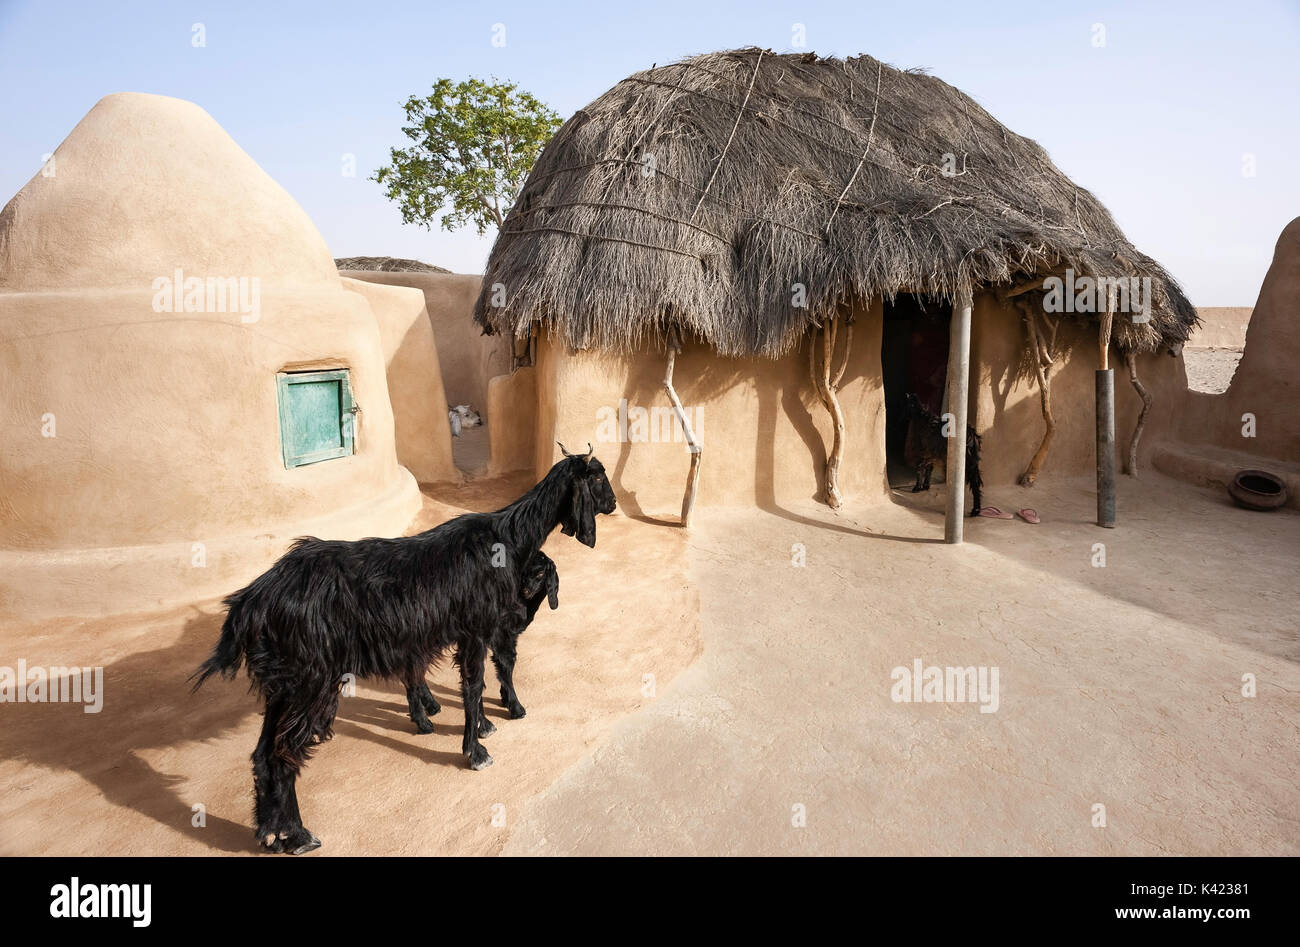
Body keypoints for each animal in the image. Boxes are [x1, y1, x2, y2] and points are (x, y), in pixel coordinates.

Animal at [400, 546, 553, 733]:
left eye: (541, 574)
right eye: (524, 572)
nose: (525, 590)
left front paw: (504, 699)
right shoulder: (502, 635)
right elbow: (505, 665)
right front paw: (515, 708)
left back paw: (432, 707)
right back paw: (424, 722)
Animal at [904, 387, 982, 515]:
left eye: (906, 405)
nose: (904, 416)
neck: (921, 415)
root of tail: (971, 434)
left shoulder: (922, 451)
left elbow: (920, 469)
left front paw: (917, 487)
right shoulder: (930, 453)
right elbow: (929, 468)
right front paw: (925, 486)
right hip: (972, 463)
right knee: (975, 484)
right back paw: (976, 510)